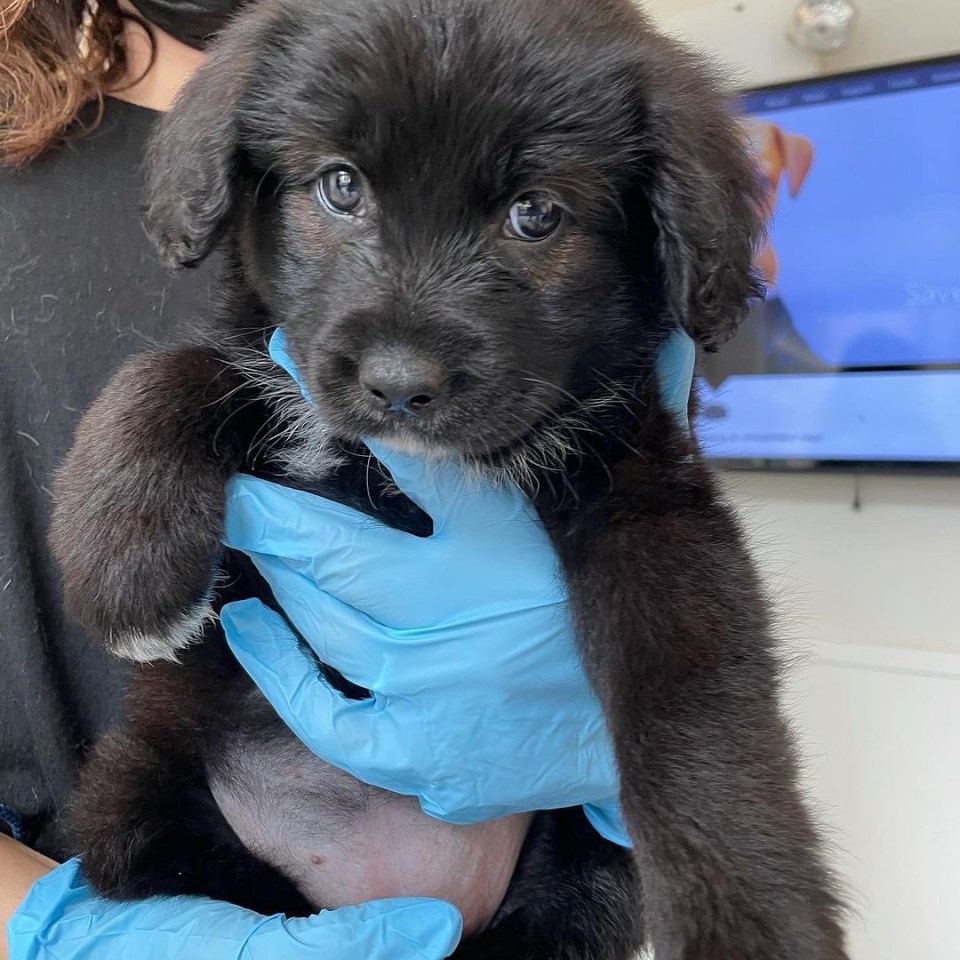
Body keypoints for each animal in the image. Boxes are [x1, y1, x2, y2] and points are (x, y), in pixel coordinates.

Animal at [52, 0, 848, 956]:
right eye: (342, 186)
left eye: (535, 213)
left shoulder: (648, 490)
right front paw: (125, 566)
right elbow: (177, 368)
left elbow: (693, 707)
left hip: (587, 859)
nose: (400, 384)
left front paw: (747, 914)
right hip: (132, 795)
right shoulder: (275, 365)